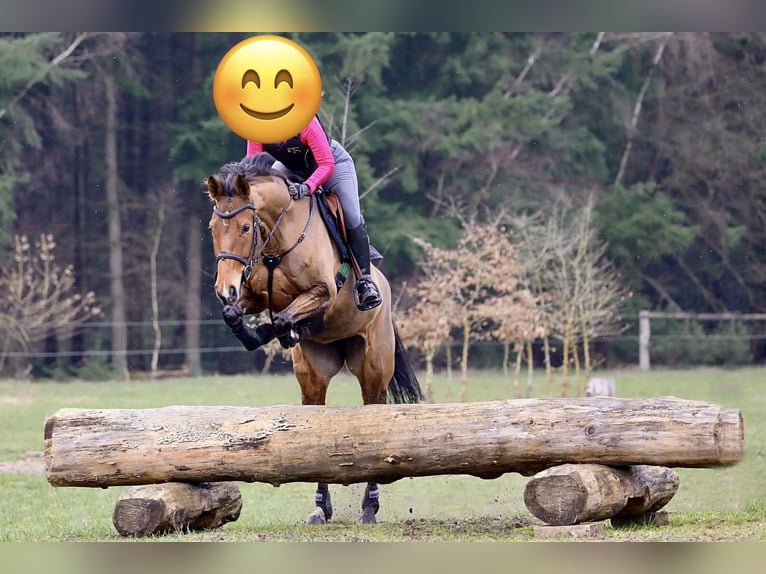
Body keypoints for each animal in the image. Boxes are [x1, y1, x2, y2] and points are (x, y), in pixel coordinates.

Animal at [206, 152, 423, 525]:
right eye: (212, 228)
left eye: (245, 228)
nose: (225, 290)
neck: (276, 240)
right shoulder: (255, 297)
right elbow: (237, 315)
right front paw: (259, 332)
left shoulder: (324, 291)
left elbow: (283, 318)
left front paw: (279, 330)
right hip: (313, 374)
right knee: (315, 424)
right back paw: (321, 507)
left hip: (373, 368)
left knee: (375, 415)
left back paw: (369, 507)